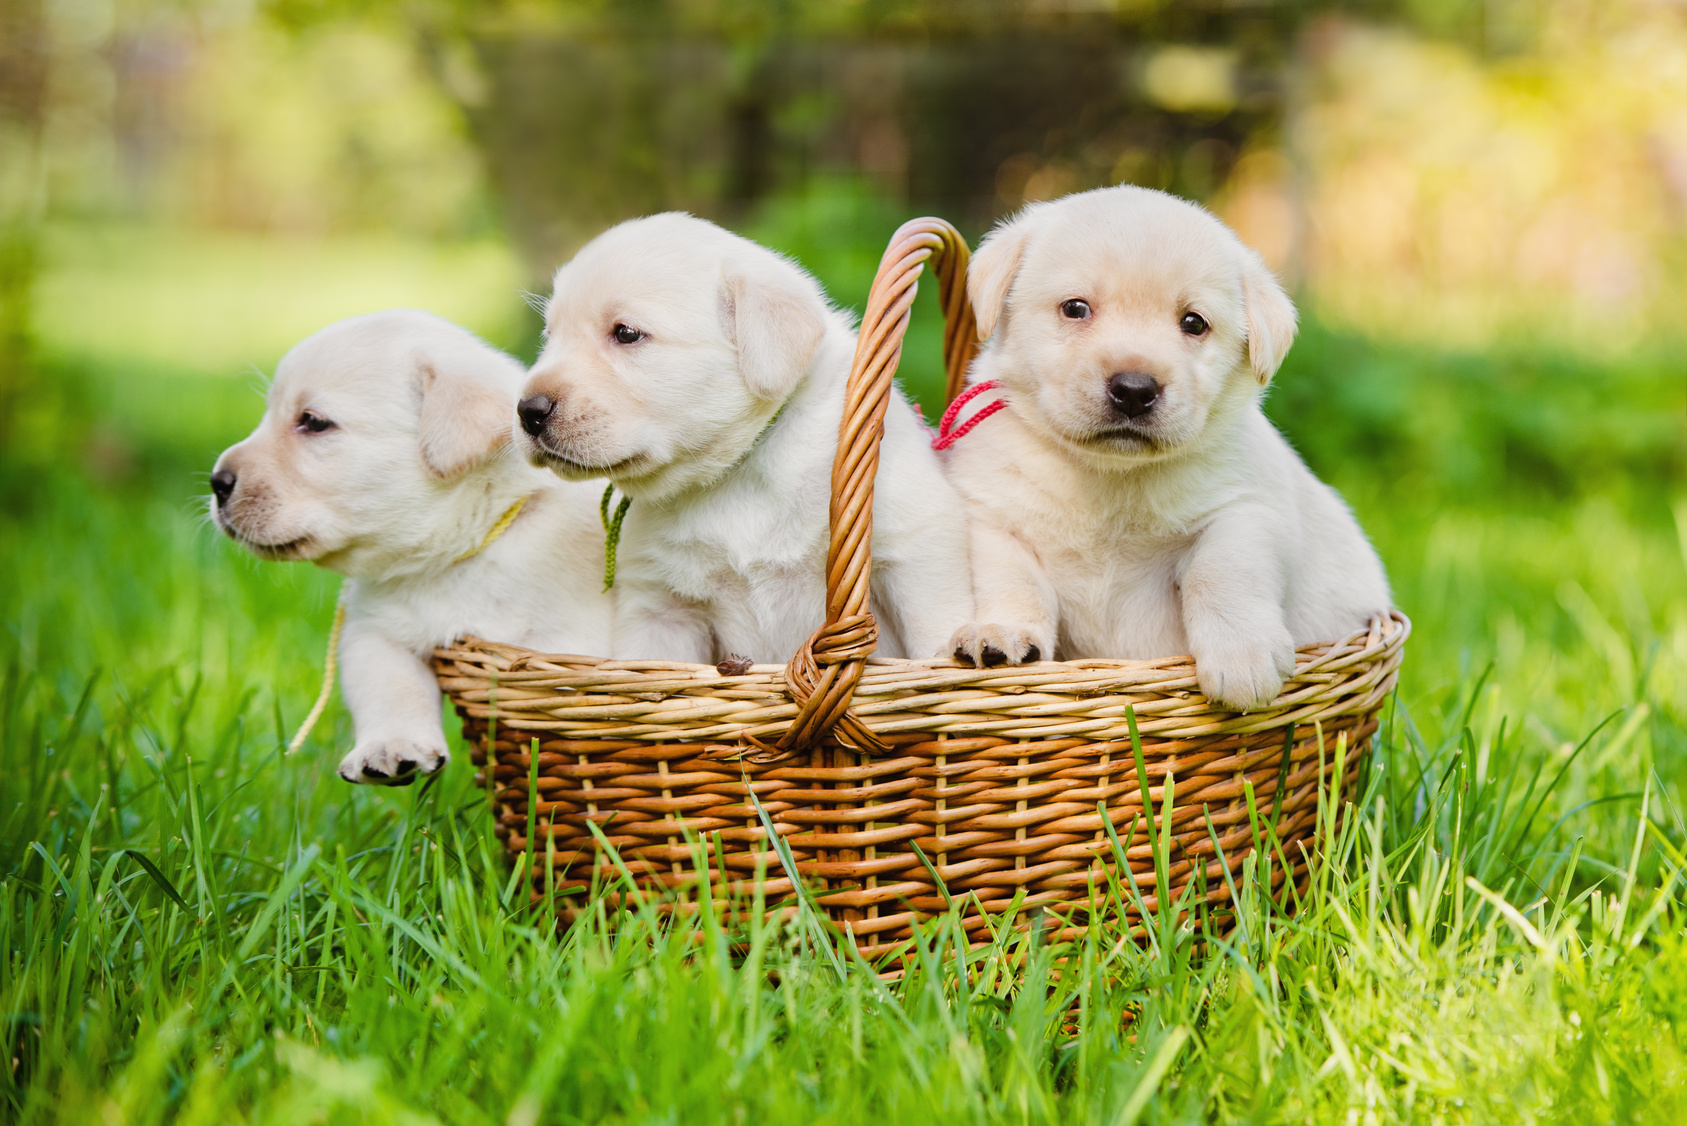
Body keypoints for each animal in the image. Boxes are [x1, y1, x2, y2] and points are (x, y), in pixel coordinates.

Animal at [207, 308, 610, 783]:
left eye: (314, 421)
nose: (217, 483)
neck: (456, 555)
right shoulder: (373, 629)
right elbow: (389, 685)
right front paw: (391, 750)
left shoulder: (569, 645)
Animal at [512, 213, 971, 661]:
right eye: (550, 336)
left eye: (626, 333)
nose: (528, 411)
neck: (734, 471)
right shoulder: (659, 607)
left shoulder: (916, 553)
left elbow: (933, 638)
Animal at [944, 188, 1390, 709]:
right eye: (1075, 308)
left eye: (1194, 322)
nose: (1135, 390)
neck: (1110, 476)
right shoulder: (992, 516)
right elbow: (1012, 580)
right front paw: (1000, 633)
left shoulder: (1246, 509)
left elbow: (1221, 571)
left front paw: (1243, 656)